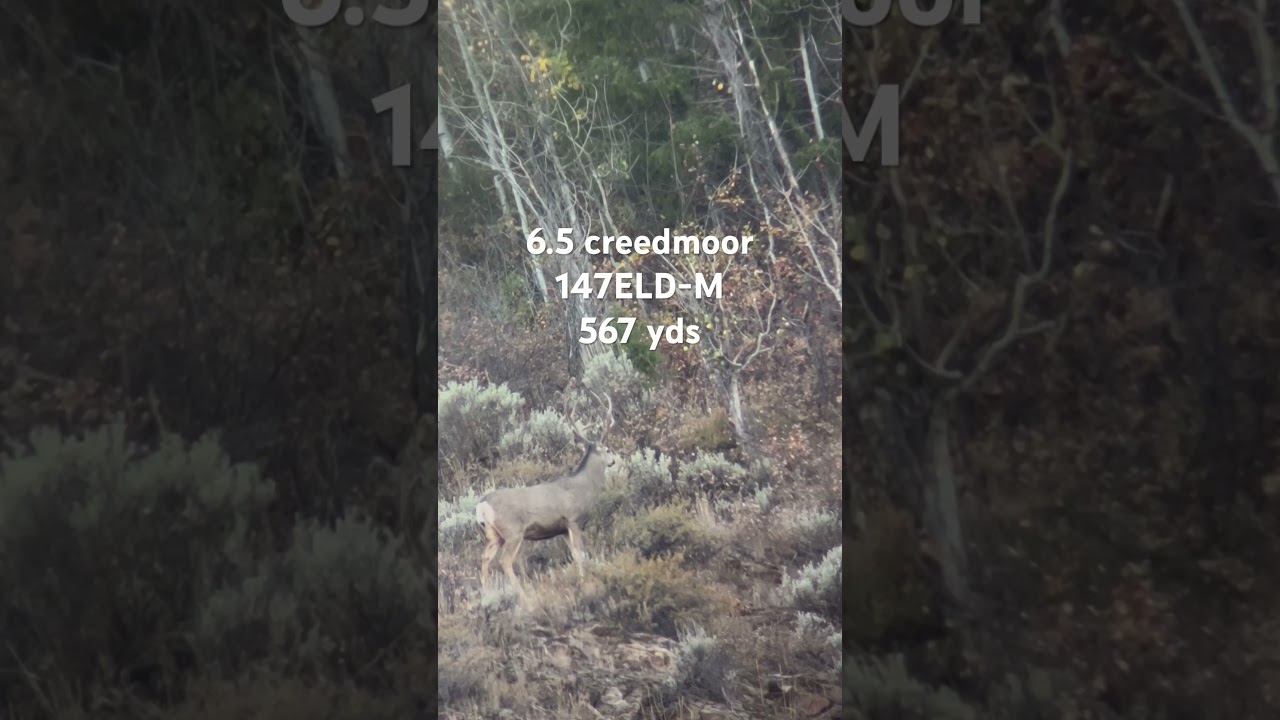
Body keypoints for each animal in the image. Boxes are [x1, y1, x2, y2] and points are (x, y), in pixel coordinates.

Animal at [475, 393, 618, 596]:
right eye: (607, 450)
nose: (613, 460)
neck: (583, 487)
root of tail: (482, 505)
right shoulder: (573, 520)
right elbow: (580, 554)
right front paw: (585, 582)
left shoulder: (562, 529)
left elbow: (575, 555)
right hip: (513, 531)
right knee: (505, 561)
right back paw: (523, 595)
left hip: (493, 535)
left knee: (485, 557)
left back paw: (487, 594)